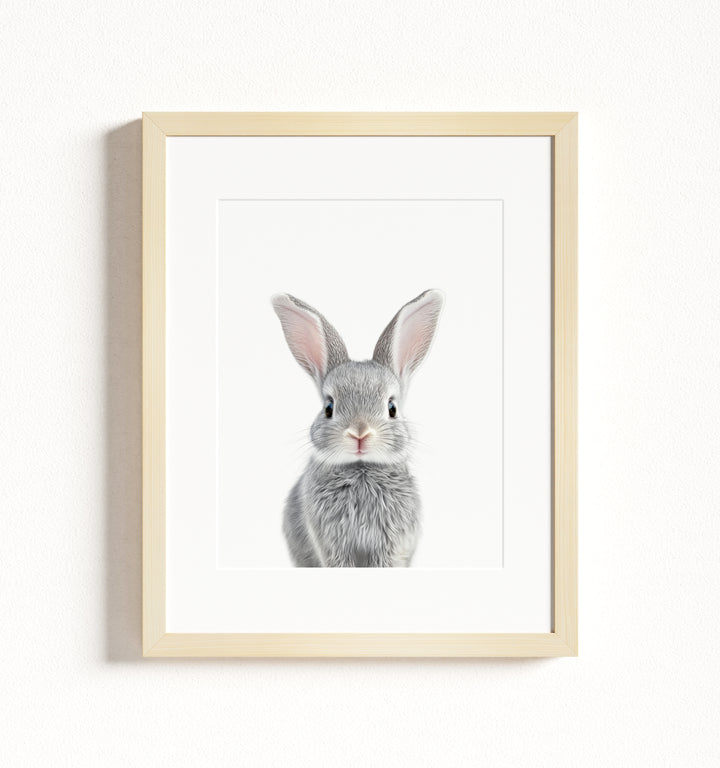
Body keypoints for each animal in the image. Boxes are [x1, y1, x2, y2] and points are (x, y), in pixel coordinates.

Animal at [271, 289, 444, 567]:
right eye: (329, 407)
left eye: (392, 408)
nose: (360, 433)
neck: (361, 468)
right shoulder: (332, 544)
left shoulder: (390, 544)